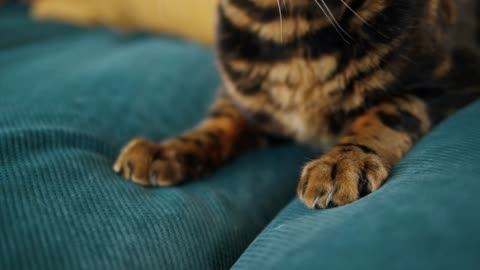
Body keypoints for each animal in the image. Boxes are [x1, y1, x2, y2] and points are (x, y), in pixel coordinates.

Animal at [113, 0, 480, 209]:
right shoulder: (246, 100)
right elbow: (217, 124)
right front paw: (167, 149)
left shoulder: (452, 79)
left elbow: (389, 111)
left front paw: (342, 162)